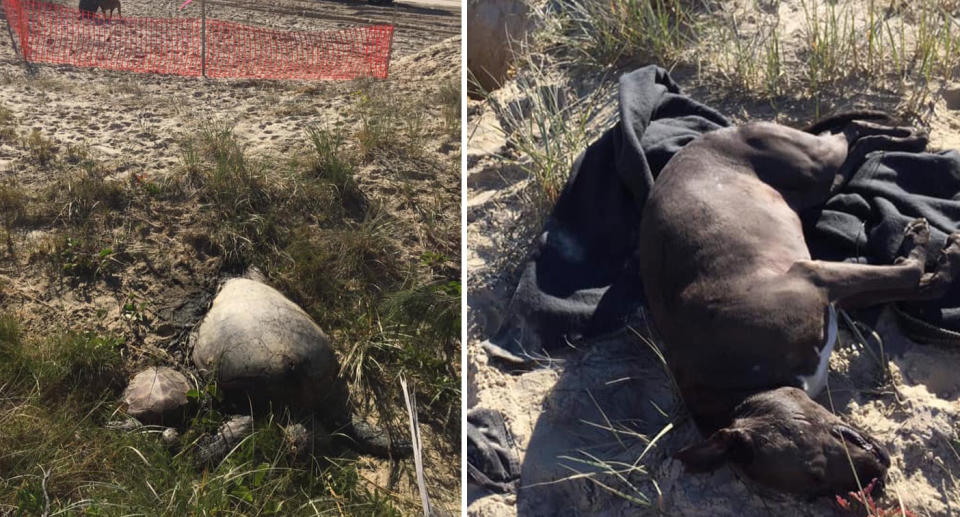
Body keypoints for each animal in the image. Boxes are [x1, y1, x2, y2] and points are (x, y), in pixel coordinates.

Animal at [632, 112, 956, 496]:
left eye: (815, 469)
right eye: (814, 488)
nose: (877, 479)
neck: (747, 384)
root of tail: (706, 137)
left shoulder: (816, 277)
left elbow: (912, 274)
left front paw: (927, 244)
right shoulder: (834, 293)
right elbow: (920, 283)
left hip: (810, 161)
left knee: (849, 132)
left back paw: (909, 136)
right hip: (811, 187)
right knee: (850, 154)